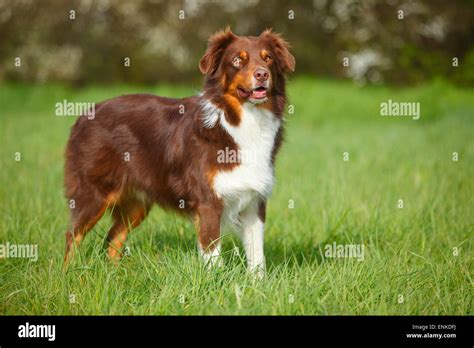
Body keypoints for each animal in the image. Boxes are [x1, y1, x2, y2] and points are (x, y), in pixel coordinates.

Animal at [63, 27, 292, 278]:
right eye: (237, 60)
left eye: (268, 58)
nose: (262, 74)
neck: (240, 121)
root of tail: (84, 114)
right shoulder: (208, 202)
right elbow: (213, 256)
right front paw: (215, 284)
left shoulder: (254, 200)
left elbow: (257, 256)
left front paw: (257, 284)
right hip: (94, 194)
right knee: (72, 236)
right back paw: (66, 276)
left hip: (136, 203)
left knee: (113, 238)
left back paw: (114, 276)